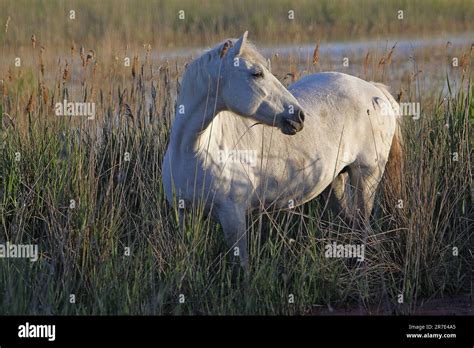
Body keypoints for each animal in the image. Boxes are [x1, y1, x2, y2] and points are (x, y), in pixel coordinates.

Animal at [162, 31, 400, 270]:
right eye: (257, 73)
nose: (299, 116)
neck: (192, 151)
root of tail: (375, 91)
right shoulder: (183, 215)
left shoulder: (233, 218)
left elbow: (243, 265)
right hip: (334, 185)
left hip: (366, 179)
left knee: (363, 228)